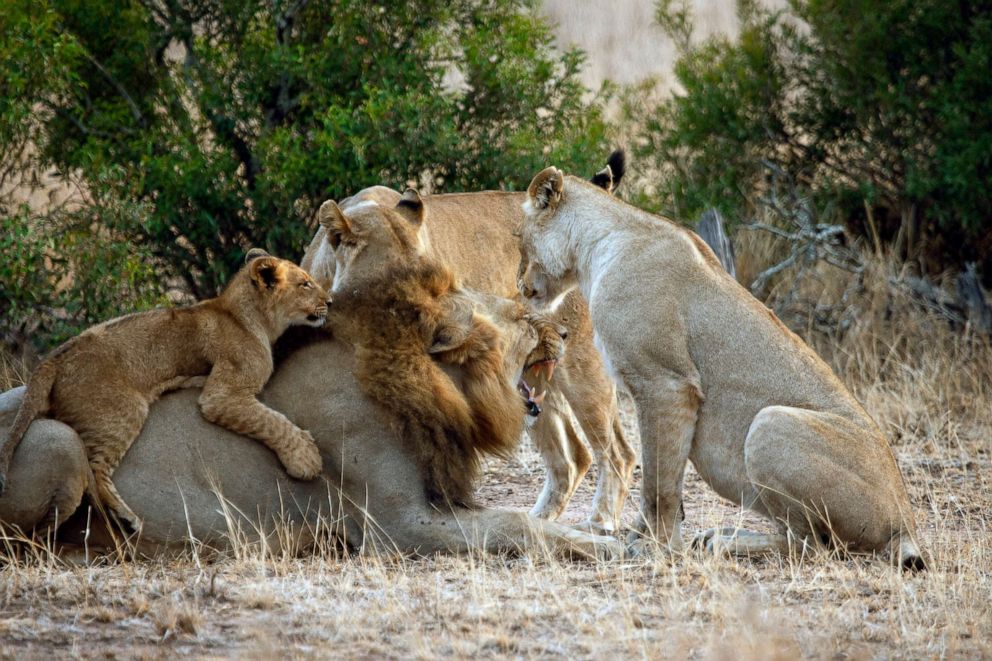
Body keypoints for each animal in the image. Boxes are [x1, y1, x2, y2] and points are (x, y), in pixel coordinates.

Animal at [0, 249, 330, 532]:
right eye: (305, 283)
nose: (329, 301)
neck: (248, 316)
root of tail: (53, 358)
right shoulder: (222, 394)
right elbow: (270, 420)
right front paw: (306, 459)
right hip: (123, 411)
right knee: (95, 467)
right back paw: (127, 517)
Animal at [302, 157, 636, 532]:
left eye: (440, 278)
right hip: (534, 379)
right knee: (573, 457)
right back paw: (539, 521)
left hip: (583, 370)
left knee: (618, 454)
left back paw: (600, 521)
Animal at [516, 165, 928, 568]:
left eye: (519, 239)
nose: (519, 286)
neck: (595, 245)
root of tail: (906, 522)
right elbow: (662, 481)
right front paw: (647, 540)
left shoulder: (666, 383)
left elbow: (659, 483)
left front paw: (654, 548)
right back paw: (717, 536)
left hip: (769, 423)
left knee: (813, 546)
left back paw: (725, 542)